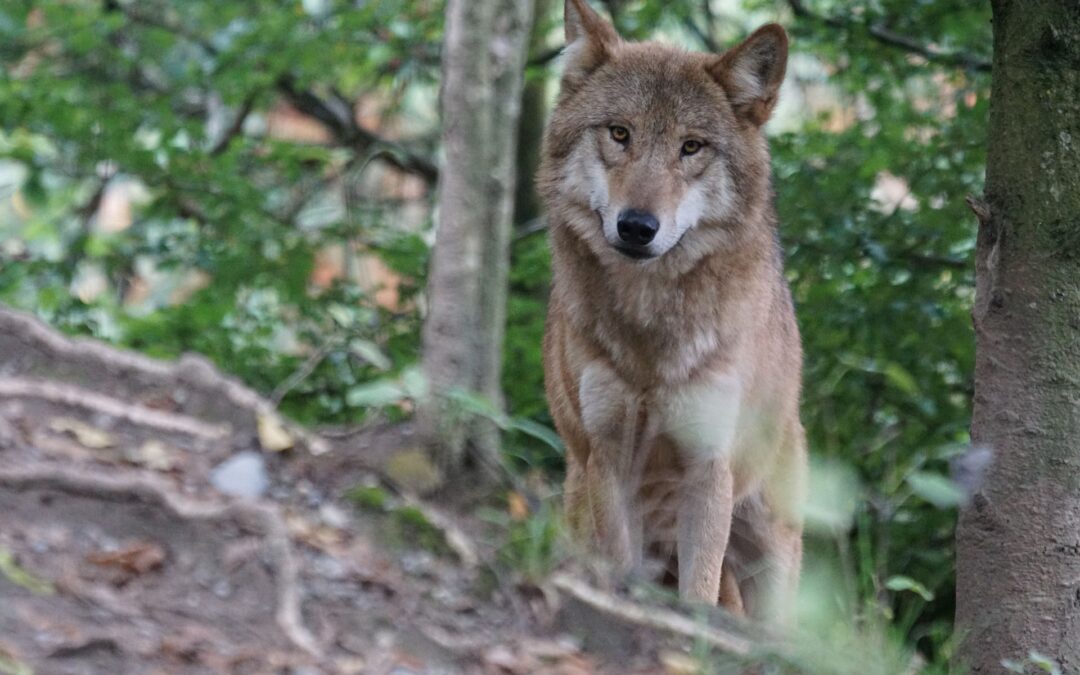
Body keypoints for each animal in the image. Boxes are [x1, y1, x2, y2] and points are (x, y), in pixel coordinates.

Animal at [539, 0, 807, 621]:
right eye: (620, 134)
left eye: (691, 147)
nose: (637, 226)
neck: (649, 336)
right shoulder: (609, 459)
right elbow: (620, 567)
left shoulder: (708, 467)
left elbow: (699, 591)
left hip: (770, 550)